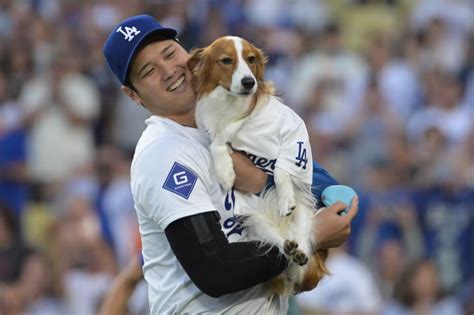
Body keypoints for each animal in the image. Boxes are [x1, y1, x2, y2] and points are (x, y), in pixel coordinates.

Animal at [187, 37, 328, 296]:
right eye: (226, 60)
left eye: (251, 59)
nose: (248, 82)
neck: (233, 107)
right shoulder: (217, 134)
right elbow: (217, 144)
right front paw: (225, 172)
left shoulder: (294, 135)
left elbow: (282, 169)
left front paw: (285, 199)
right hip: (256, 221)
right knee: (281, 248)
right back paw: (289, 248)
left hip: (305, 213)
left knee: (300, 260)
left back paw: (299, 251)